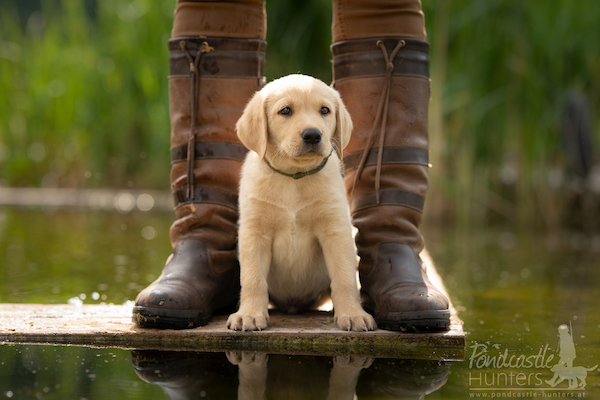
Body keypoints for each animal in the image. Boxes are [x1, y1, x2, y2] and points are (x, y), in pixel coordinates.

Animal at [229, 74, 376, 332]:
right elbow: (253, 279)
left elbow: (344, 278)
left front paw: (353, 314)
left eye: (325, 110)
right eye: (286, 111)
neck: (293, 178)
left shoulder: (336, 232)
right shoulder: (254, 233)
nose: (313, 135)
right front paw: (249, 314)